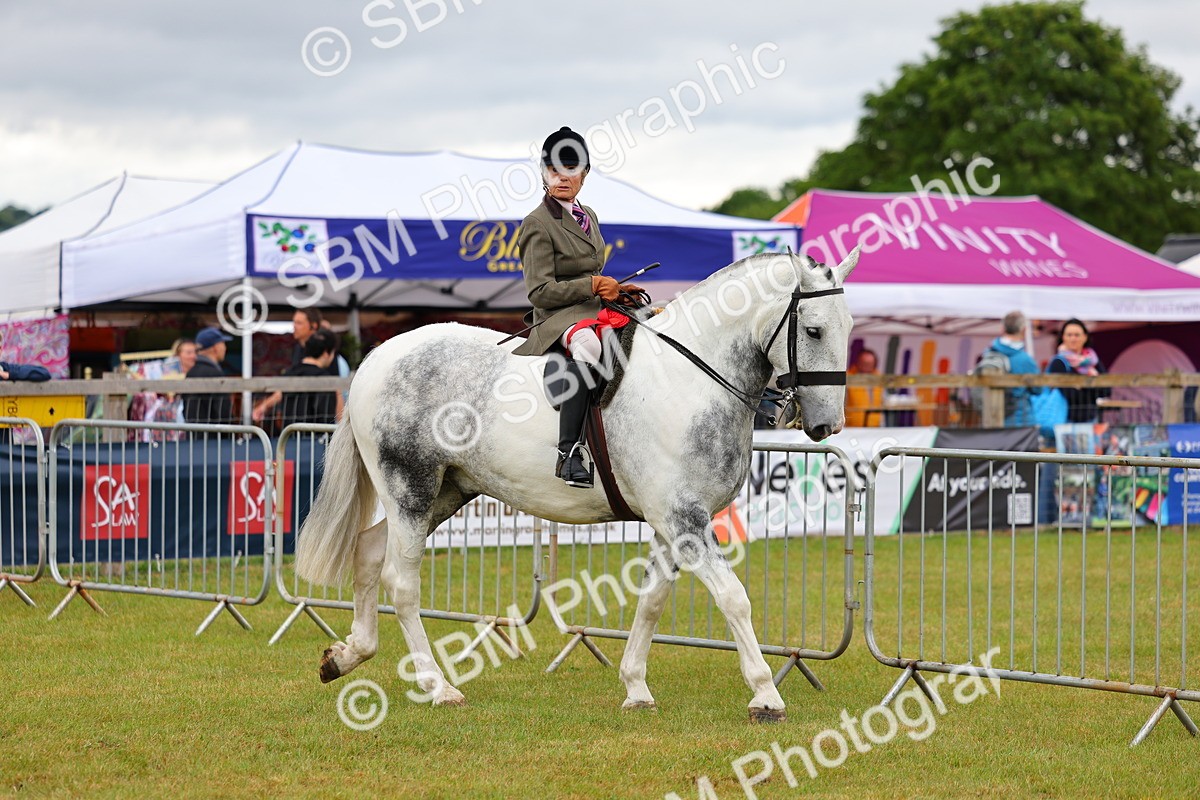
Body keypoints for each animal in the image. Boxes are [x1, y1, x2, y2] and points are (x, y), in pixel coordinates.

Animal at [295, 247, 859, 722]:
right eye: (813, 331)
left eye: (850, 326)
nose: (826, 426)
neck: (690, 377)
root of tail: (379, 357)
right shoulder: (685, 519)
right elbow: (734, 598)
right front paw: (765, 695)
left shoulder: (670, 521)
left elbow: (652, 601)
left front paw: (635, 687)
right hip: (410, 487)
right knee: (402, 581)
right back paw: (438, 686)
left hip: (448, 491)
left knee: (369, 552)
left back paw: (347, 656)